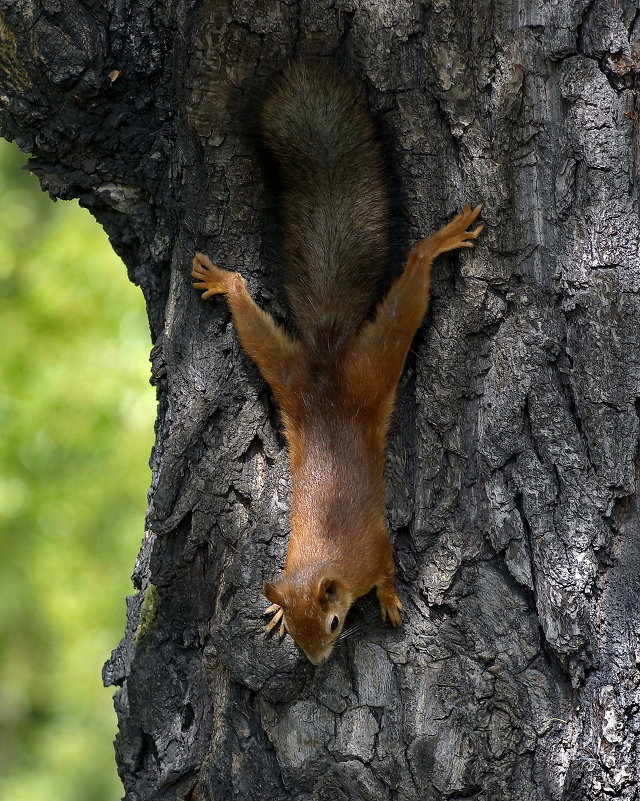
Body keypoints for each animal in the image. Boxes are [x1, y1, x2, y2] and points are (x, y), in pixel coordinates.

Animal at [192, 61, 482, 664]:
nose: (318, 661)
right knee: (249, 312)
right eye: (302, 633)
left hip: (376, 358)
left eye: (330, 624)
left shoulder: (376, 547)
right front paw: (276, 609)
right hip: (283, 366)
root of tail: (326, 364)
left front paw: (392, 604)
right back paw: (223, 281)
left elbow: (390, 569)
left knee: (412, 280)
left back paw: (440, 241)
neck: (325, 558)